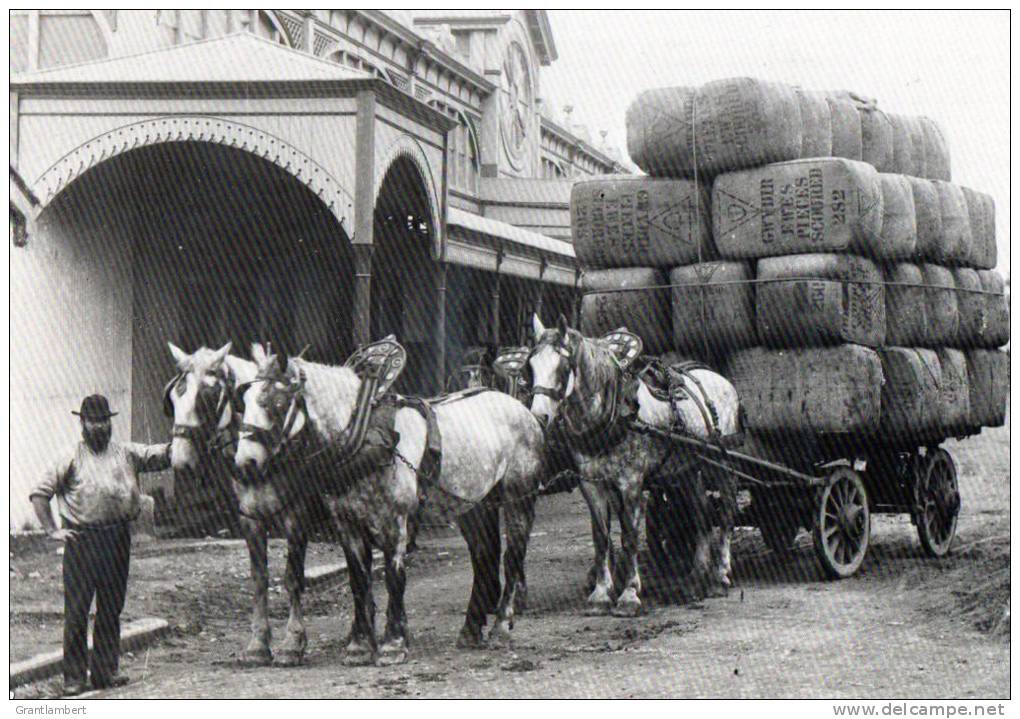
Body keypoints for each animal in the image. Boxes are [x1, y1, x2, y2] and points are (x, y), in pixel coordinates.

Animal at [163, 344, 318, 664]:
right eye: (172, 398)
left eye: (208, 397)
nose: (181, 464)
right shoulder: (251, 519)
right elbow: (259, 579)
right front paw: (258, 643)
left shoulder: (297, 518)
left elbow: (293, 578)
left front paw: (293, 642)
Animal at [233, 344, 546, 664]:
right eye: (242, 402)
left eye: (276, 402)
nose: (245, 464)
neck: (364, 436)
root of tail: (521, 408)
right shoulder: (346, 523)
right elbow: (358, 581)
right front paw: (359, 646)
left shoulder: (395, 521)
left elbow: (394, 578)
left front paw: (393, 644)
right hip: (473, 504)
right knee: (483, 556)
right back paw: (470, 630)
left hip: (519, 496)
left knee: (513, 556)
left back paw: (501, 628)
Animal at [526, 316, 742, 615]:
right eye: (531, 365)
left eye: (563, 367)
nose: (539, 416)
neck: (614, 414)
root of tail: (722, 380)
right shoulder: (591, 483)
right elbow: (601, 537)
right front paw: (601, 594)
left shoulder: (630, 483)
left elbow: (629, 535)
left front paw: (628, 594)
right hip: (688, 469)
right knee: (701, 513)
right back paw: (695, 577)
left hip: (721, 463)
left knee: (726, 513)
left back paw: (720, 574)